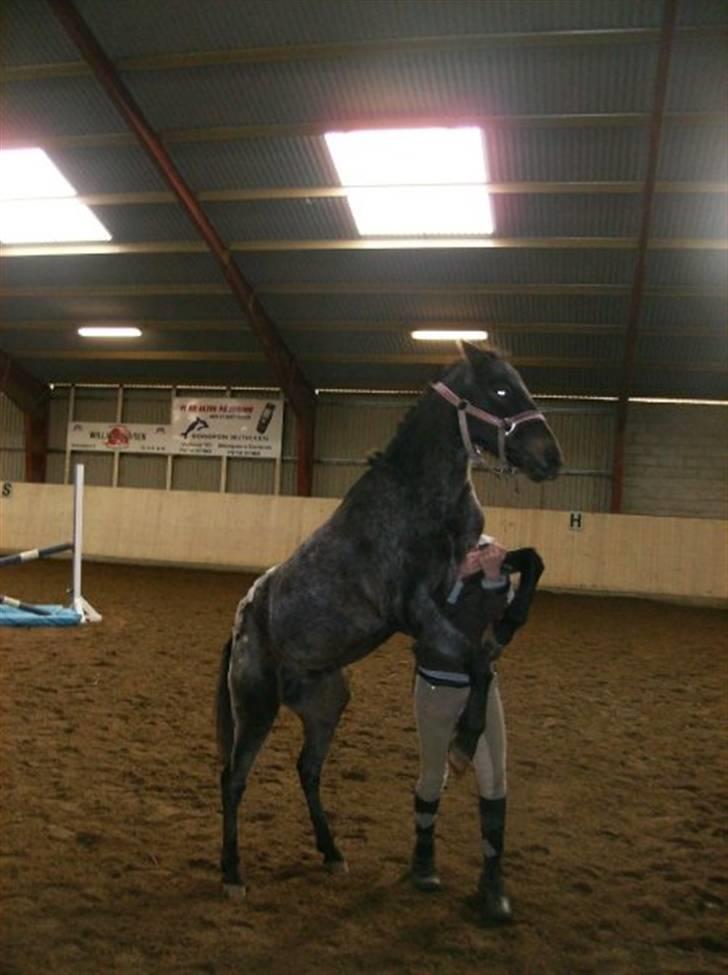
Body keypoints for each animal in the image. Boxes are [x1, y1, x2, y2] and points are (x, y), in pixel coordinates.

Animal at [215, 342, 562, 895]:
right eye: (501, 389)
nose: (552, 458)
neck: (419, 497)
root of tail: (243, 622)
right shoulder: (414, 609)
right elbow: (478, 661)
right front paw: (462, 743)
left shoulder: (459, 573)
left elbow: (530, 561)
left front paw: (511, 621)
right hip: (256, 708)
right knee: (234, 778)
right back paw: (232, 873)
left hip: (326, 705)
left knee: (307, 768)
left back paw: (332, 853)